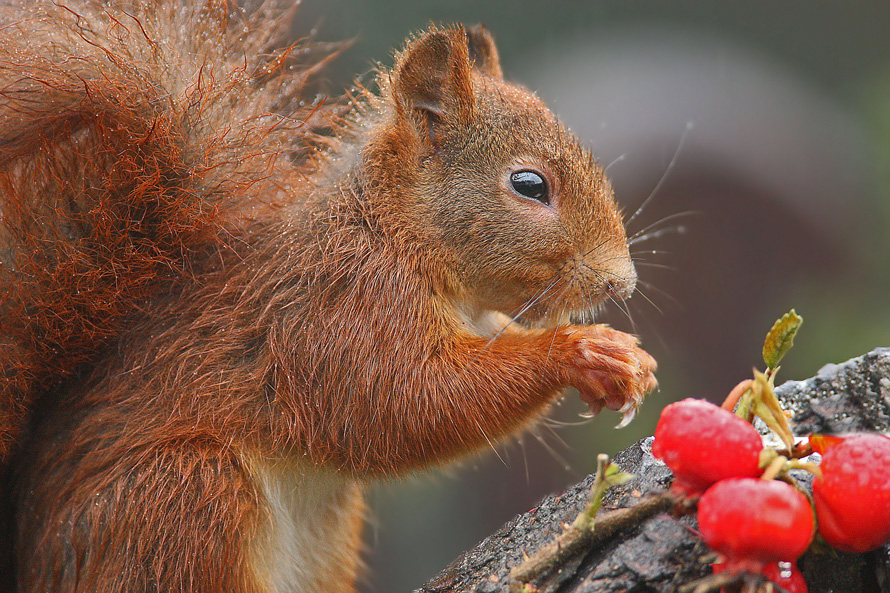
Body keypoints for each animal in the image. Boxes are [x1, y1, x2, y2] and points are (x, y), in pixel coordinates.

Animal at [0, 1, 652, 592]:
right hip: (182, 495)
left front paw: (625, 362)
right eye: (530, 185)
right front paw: (580, 351)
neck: (393, 231)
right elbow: (410, 399)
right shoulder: (339, 309)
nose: (620, 282)